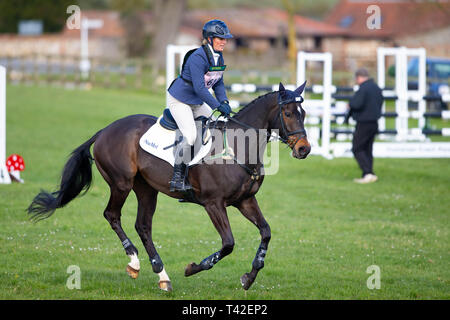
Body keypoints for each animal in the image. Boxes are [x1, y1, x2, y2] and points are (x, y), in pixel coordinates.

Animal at [27, 82, 310, 290]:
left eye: (304, 114)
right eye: (287, 114)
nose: (304, 149)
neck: (239, 147)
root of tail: (105, 129)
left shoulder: (245, 201)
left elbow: (266, 232)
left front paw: (249, 278)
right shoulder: (213, 204)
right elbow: (228, 243)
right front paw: (193, 268)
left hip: (146, 189)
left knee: (143, 225)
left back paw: (161, 275)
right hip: (121, 183)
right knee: (112, 215)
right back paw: (135, 263)